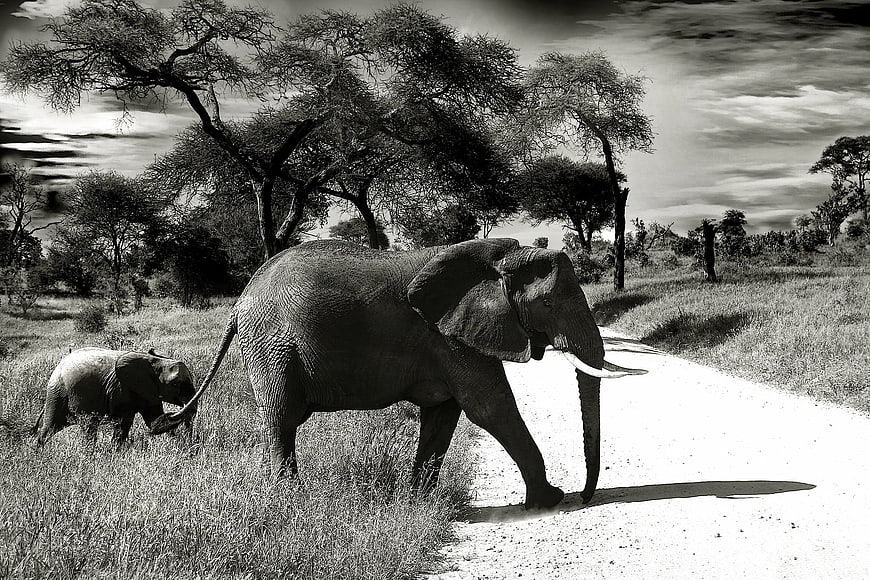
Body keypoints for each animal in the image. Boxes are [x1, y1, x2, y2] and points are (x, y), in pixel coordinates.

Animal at [33, 347, 196, 448]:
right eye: (175, 384)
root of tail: (58, 366)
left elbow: (154, 421)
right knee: (55, 426)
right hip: (57, 392)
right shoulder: (121, 388)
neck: (155, 361)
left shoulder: (149, 391)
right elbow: (123, 422)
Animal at [152, 238, 644, 509]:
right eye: (548, 303)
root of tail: (239, 302)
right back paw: (289, 498)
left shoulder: (448, 337)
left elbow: (445, 414)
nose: (586, 495)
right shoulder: (447, 335)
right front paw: (550, 500)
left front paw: (417, 502)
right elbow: (490, 408)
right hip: (271, 346)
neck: (501, 256)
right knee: (281, 418)